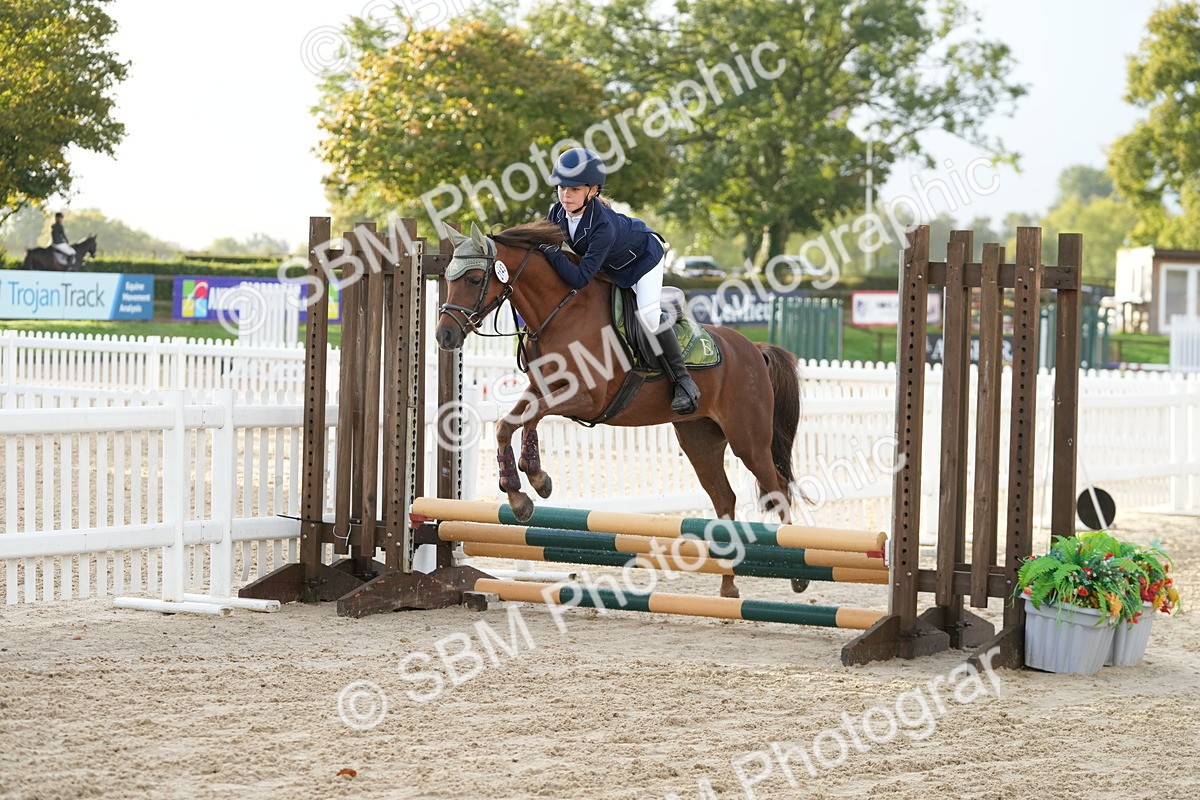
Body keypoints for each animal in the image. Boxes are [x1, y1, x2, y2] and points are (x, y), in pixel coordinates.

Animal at [435, 221, 802, 598]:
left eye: (474, 279)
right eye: (448, 276)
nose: (444, 336)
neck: (560, 312)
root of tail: (754, 348)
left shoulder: (587, 398)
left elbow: (527, 418)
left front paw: (532, 481)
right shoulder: (542, 389)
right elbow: (510, 423)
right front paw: (525, 489)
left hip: (748, 440)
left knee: (779, 488)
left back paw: (797, 575)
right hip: (700, 441)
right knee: (725, 499)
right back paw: (728, 587)